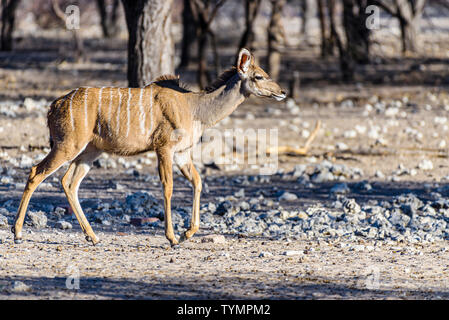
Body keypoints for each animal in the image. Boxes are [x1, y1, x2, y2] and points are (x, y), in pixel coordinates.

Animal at [13, 47, 288, 246]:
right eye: (259, 76)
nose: (283, 92)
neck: (195, 109)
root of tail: (53, 107)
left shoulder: (182, 153)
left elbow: (198, 181)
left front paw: (188, 233)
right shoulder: (164, 148)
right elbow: (168, 188)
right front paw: (173, 237)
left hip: (89, 151)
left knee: (69, 182)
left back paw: (93, 236)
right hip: (67, 145)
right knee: (36, 172)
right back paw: (17, 233)